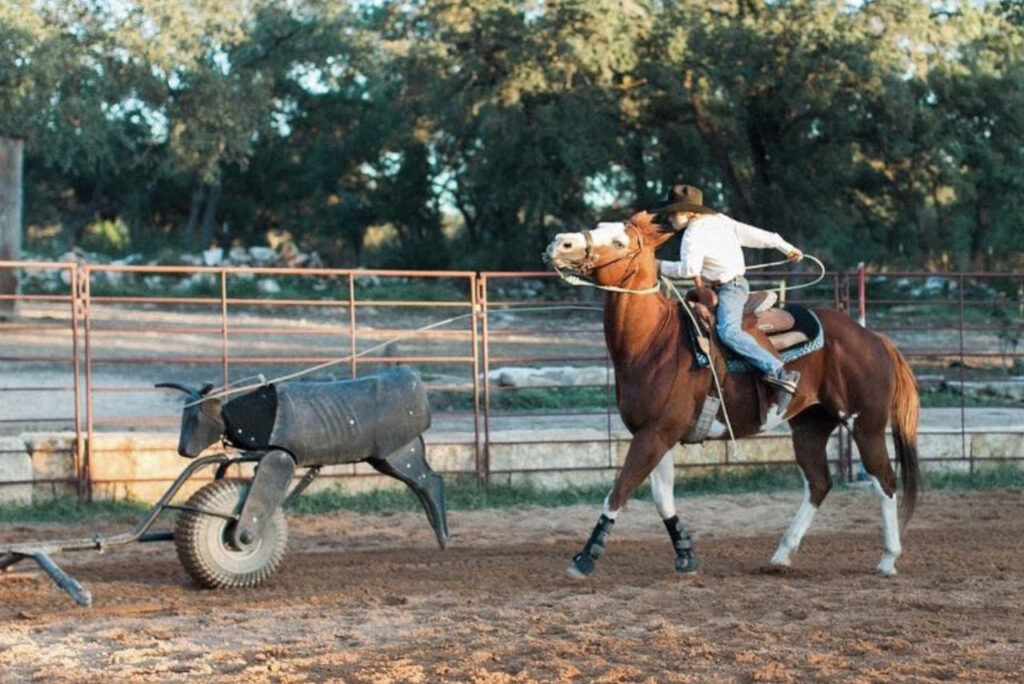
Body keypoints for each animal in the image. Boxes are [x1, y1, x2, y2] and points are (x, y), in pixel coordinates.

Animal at [544, 210, 921, 581]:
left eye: (619, 241)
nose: (559, 243)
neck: (654, 342)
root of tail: (874, 338)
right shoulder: (653, 434)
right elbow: (662, 499)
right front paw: (686, 554)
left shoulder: (655, 434)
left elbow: (619, 491)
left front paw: (585, 558)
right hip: (810, 425)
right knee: (818, 483)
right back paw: (781, 556)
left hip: (865, 424)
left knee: (884, 481)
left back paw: (888, 559)